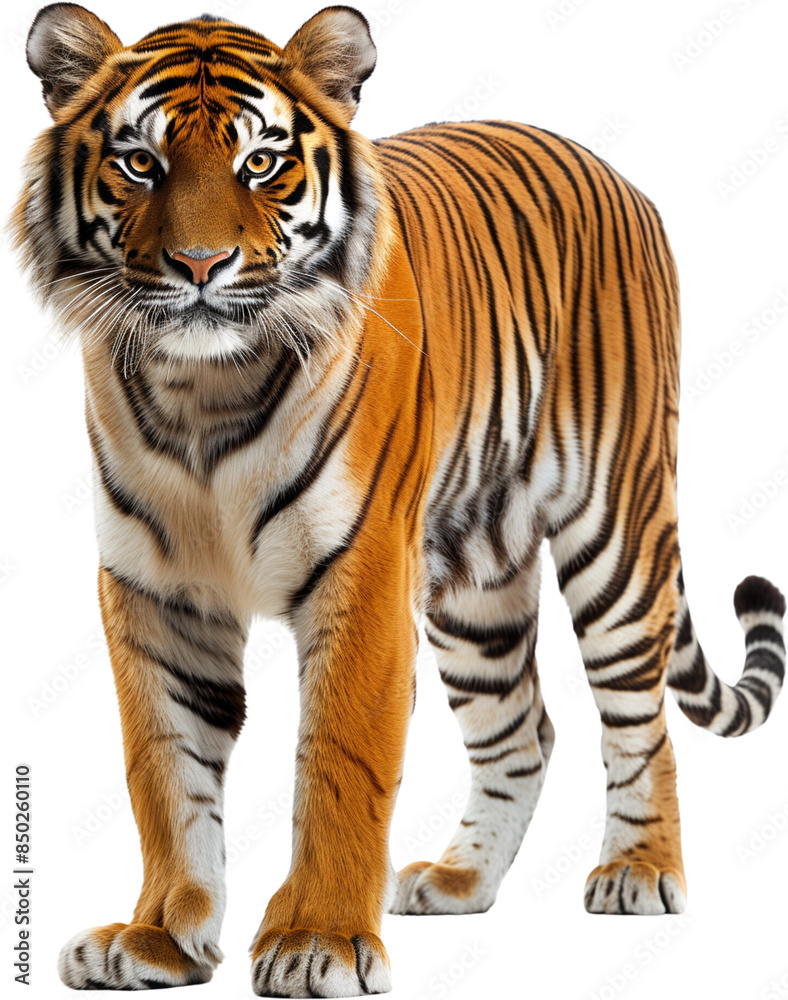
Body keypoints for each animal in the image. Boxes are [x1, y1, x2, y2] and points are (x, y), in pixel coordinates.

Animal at [13, 2, 786, 997]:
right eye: (140, 162)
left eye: (259, 162)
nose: (200, 263)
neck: (202, 390)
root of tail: (612, 171)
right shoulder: (153, 592)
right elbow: (164, 770)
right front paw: (156, 938)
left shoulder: (365, 574)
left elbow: (340, 764)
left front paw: (318, 940)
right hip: (477, 581)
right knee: (522, 730)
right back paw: (461, 881)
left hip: (616, 527)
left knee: (638, 718)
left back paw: (640, 870)